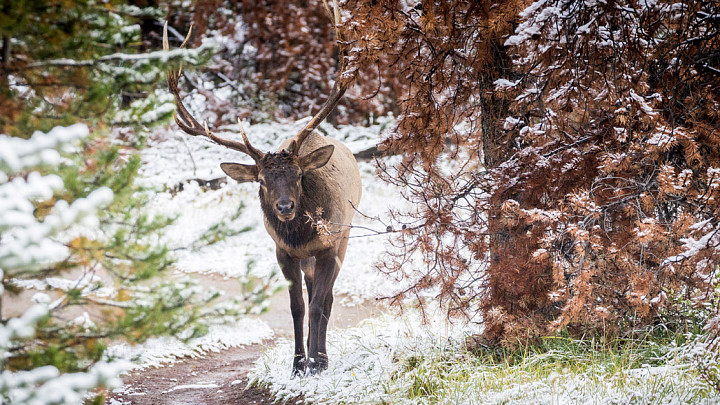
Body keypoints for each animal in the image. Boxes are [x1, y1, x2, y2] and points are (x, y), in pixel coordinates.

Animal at [166, 3, 362, 376]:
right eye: (261, 180)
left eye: (299, 175)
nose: (284, 207)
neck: (301, 237)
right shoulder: (282, 251)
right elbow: (297, 307)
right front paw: (298, 364)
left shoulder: (329, 245)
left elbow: (320, 304)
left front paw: (317, 363)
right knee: (312, 293)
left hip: (345, 237)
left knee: (327, 298)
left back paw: (322, 355)